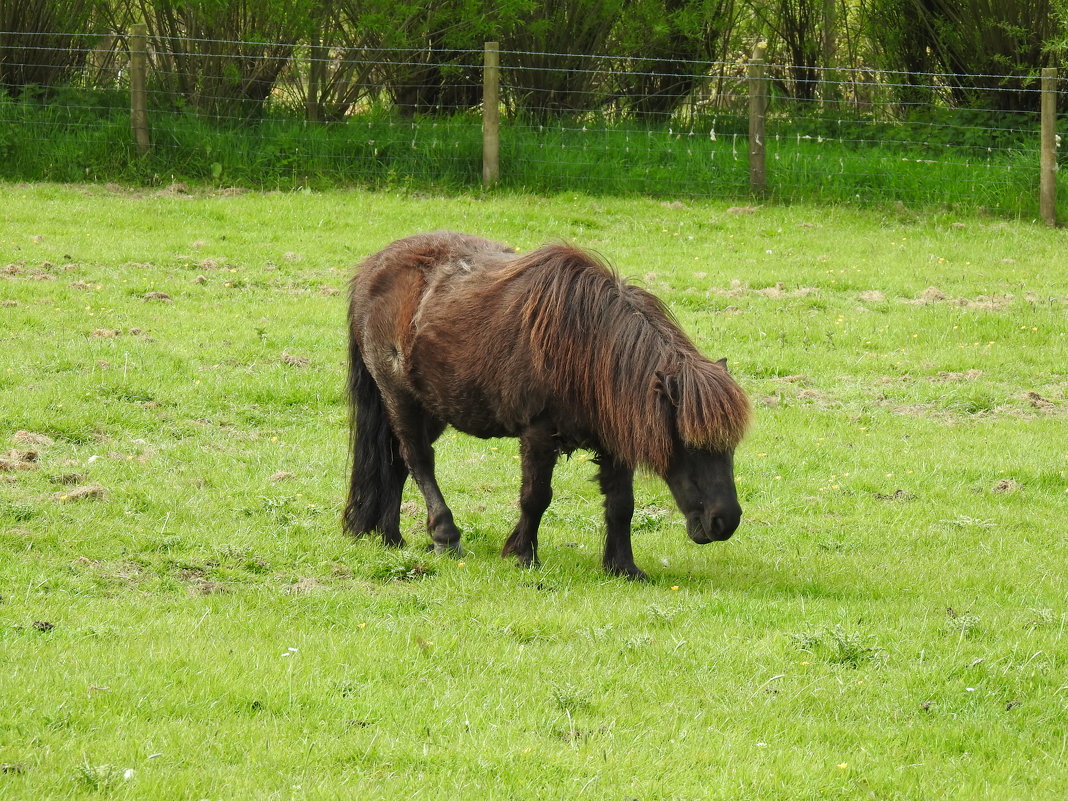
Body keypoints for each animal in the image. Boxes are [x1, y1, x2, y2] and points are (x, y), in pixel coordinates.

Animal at [341, 228, 751, 580]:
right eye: (689, 444)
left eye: (731, 448)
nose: (724, 522)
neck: (585, 346)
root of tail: (371, 270)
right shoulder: (538, 432)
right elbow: (536, 496)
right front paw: (523, 555)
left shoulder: (614, 438)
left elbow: (622, 504)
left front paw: (623, 567)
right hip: (401, 397)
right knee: (418, 460)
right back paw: (444, 535)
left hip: (431, 407)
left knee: (395, 460)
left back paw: (391, 537)